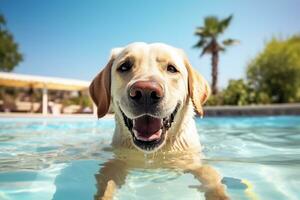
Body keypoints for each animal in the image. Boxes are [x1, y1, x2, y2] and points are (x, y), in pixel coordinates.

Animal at [90, 42, 229, 200]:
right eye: (124, 66)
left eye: (172, 68)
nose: (145, 92)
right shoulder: (117, 161)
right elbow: (106, 183)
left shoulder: (193, 160)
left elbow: (210, 175)